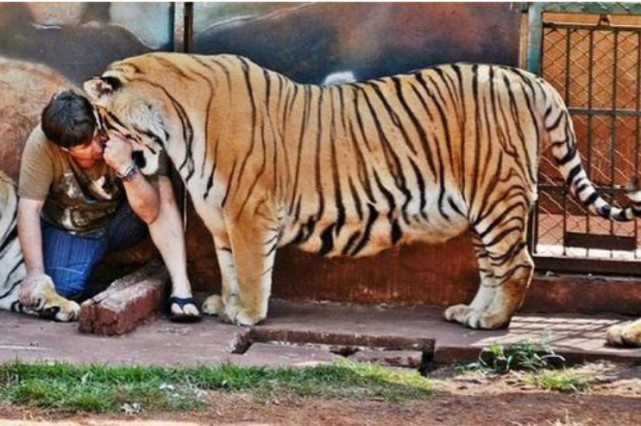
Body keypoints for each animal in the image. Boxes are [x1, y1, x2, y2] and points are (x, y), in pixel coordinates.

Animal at [82, 50, 640, 342]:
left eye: (105, 124)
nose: (106, 156)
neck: (176, 127)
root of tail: (528, 78)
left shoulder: (248, 213)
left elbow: (251, 268)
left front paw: (249, 314)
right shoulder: (221, 219)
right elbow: (227, 266)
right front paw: (226, 302)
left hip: (497, 196)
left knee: (518, 263)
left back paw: (491, 323)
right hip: (483, 206)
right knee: (493, 267)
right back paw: (470, 313)